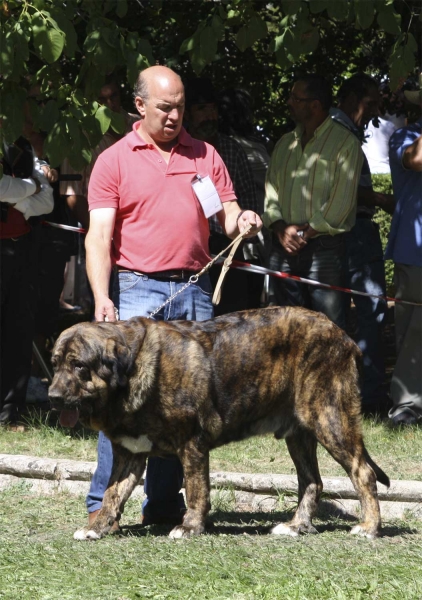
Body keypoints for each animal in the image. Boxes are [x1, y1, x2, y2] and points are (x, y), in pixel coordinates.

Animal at [48, 308, 390, 540]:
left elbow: (196, 489)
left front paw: (189, 527)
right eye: (55, 364)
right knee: (312, 482)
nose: (52, 396)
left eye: (79, 366)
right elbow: (112, 494)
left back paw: (369, 527)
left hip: (329, 419)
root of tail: (344, 336)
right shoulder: (129, 454)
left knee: (363, 472)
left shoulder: (192, 444)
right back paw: (296, 526)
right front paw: (97, 528)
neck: (130, 373)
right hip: (300, 435)